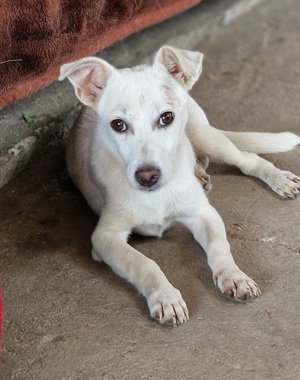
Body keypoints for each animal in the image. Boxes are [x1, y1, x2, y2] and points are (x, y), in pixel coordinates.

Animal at [59, 46, 300, 326]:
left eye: (166, 117)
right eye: (118, 124)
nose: (147, 177)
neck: (157, 195)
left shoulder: (204, 214)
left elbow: (219, 247)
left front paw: (234, 276)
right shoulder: (105, 237)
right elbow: (143, 262)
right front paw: (166, 297)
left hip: (205, 135)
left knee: (247, 159)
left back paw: (279, 179)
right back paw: (200, 175)